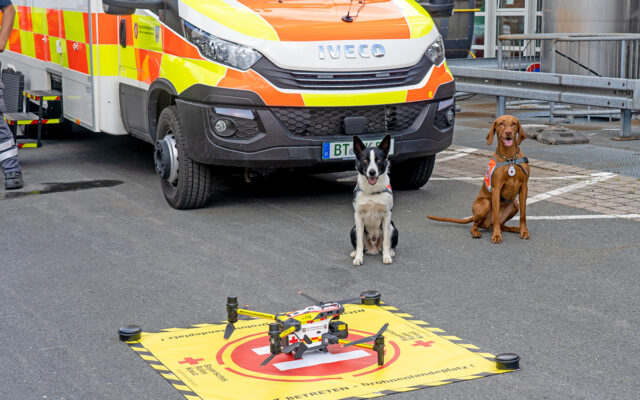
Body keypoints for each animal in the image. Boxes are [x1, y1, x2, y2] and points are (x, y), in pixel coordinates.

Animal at [352, 134, 398, 266]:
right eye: (365, 160)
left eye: (378, 160)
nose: (372, 172)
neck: (372, 191)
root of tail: (373, 248)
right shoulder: (358, 216)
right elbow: (359, 243)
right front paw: (358, 258)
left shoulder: (387, 215)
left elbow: (386, 241)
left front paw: (386, 256)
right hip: (354, 229)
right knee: (360, 244)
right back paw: (355, 253)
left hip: (392, 227)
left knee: (388, 243)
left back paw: (390, 252)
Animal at [430, 114, 528, 242]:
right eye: (501, 123)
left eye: (514, 123)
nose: (508, 132)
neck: (510, 158)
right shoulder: (496, 189)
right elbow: (496, 216)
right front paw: (497, 235)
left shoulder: (524, 187)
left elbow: (523, 215)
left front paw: (524, 231)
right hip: (485, 204)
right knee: (476, 225)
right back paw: (477, 232)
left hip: (515, 205)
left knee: (501, 224)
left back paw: (513, 228)